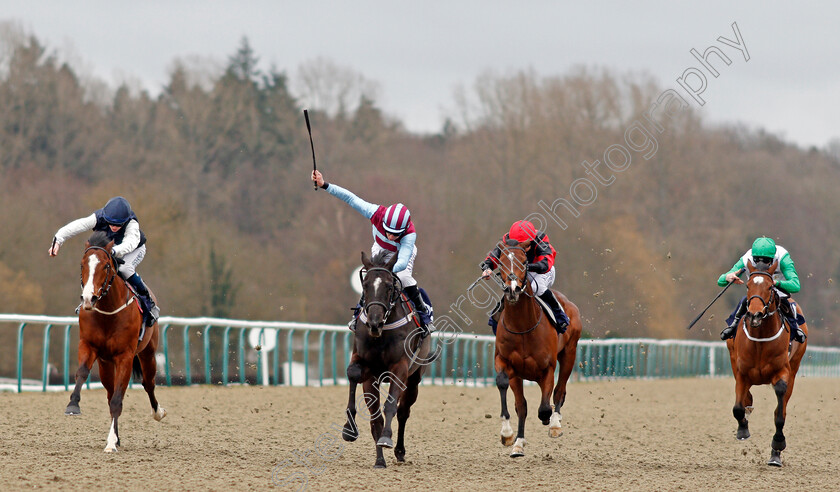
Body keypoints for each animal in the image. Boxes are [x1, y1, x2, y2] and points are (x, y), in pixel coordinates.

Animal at [65, 233, 167, 452]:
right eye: (82, 265)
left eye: (105, 266)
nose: (89, 298)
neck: (107, 312)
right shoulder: (89, 346)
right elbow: (82, 373)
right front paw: (73, 405)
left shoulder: (125, 356)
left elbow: (118, 399)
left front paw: (111, 443)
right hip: (105, 364)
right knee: (110, 391)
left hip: (148, 353)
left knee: (148, 383)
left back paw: (158, 412)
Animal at [342, 252, 434, 468]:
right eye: (365, 285)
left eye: (389, 286)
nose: (374, 322)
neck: (381, 333)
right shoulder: (366, 368)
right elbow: (353, 375)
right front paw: (349, 429)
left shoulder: (400, 368)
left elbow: (391, 405)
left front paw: (386, 439)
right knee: (376, 417)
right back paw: (380, 460)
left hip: (414, 379)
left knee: (403, 412)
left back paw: (399, 450)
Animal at [496, 238, 580, 458]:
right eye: (500, 262)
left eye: (525, 261)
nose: (513, 289)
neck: (522, 327)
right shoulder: (506, 363)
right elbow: (514, 398)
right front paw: (510, 437)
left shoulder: (547, 368)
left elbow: (544, 407)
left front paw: (550, 421)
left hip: (569, 354)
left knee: (559, 391)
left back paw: (555, 424)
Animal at [728, 260, 808, 468]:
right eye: (748, 286)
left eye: (770, 287)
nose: (755, 315)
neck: (760, 338)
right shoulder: (741, 372)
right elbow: (738, 407)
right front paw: (743, 429)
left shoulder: (782, 371)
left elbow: (779, 414)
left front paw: (778, 445)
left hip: (795, 367)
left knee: (783, 406)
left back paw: (775, 456)